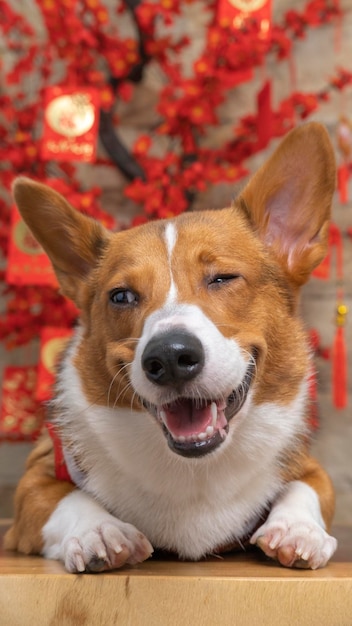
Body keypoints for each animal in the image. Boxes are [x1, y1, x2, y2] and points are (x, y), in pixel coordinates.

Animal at [4, 122, 336, 572]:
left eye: (223, 278)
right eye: (121, 296)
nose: (170, 357)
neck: (195, 469)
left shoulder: (310, 467)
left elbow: (306, 489)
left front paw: (298, 531)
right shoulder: (35, 478)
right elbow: (64, 498)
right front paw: (100, 531)